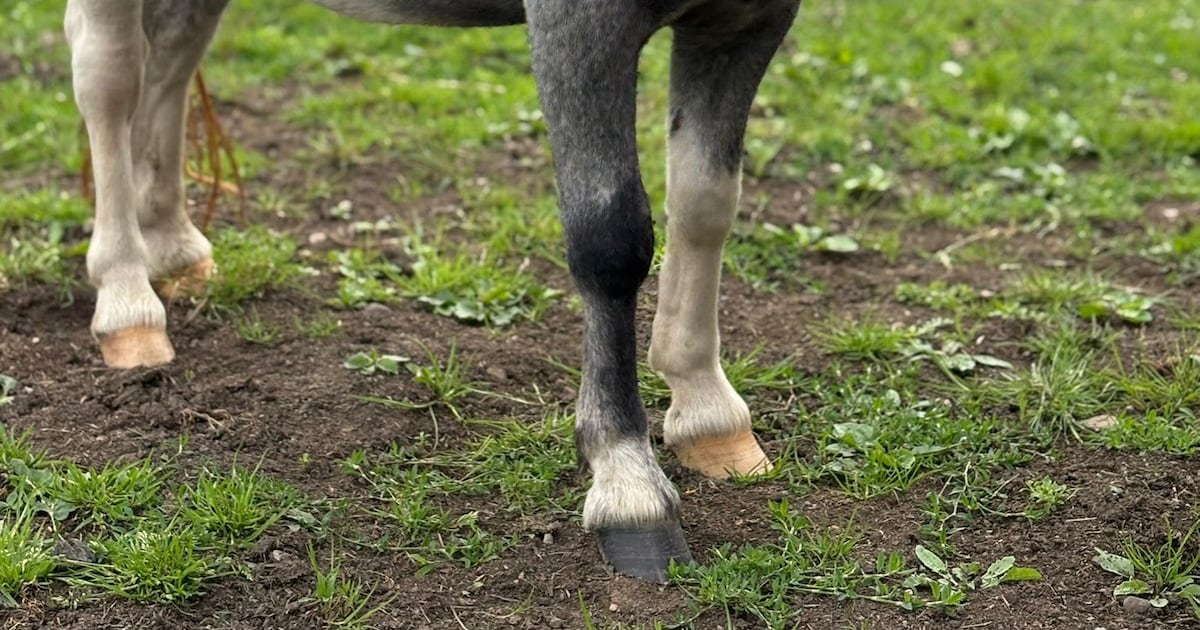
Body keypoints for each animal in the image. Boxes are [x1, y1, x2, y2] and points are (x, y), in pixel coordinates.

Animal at [65, 0, 800, 581]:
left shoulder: (749, 20)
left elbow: (705, 204)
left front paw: (706, 407)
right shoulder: (579, 22)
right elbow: (610, 238)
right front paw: (628, 483)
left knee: (173, 56)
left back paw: (172, 246)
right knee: (110, 74)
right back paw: (127, 300)